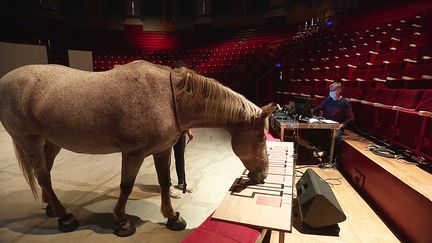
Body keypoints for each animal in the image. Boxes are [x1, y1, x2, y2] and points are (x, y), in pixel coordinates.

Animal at [0, 60, 276, 237]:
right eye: (261, 138)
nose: (262, 175)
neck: (169, 98)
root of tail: (5, 79)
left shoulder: (162, 150)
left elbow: (165, 182)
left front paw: (173, 217)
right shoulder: (133, 153)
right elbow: (126, 186)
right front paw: (122, 222)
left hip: (51, 141)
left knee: (46, 171)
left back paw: (51, 207)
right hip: (29, 140)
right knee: (43, 176)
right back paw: (65, 218)